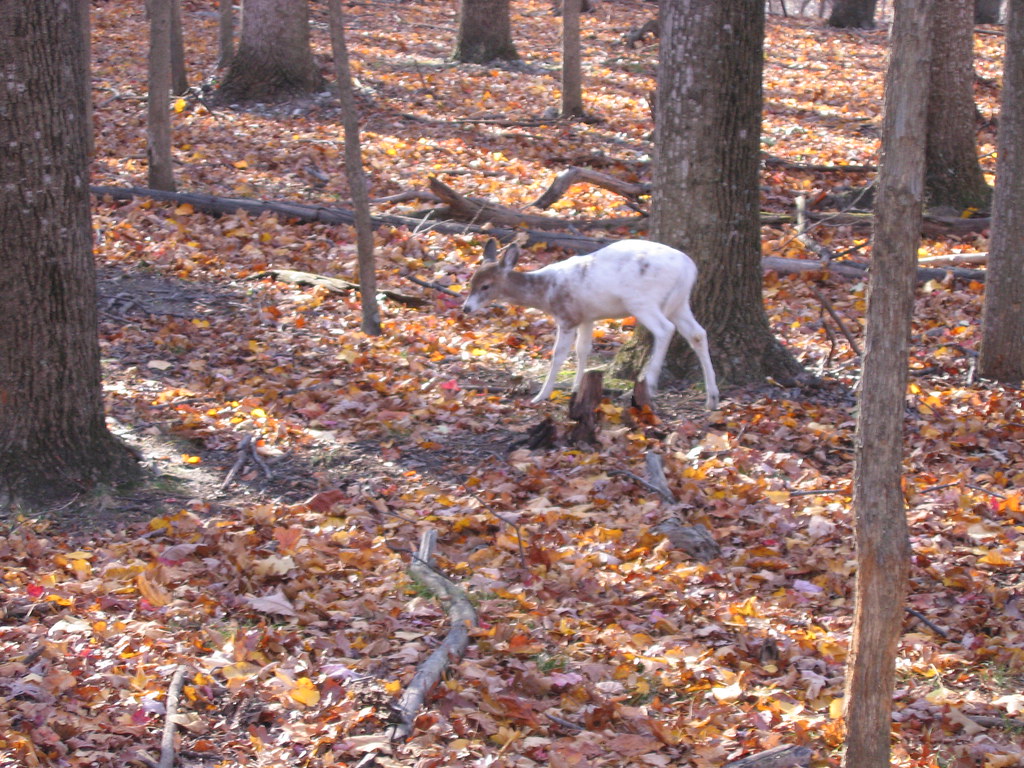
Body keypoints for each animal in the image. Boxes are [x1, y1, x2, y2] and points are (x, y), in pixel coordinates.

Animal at [462, 239, 719, 409]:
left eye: (485, 286)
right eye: (471, 282)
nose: (466, 308)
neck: (546, 292)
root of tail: (688, 268)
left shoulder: (567, 316)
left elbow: (558, 355)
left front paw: (541, 395)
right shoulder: (586, 317)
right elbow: (583, 350)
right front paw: (577, 389)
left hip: (641, 300)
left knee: (665, 330)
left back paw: (650, 385)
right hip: (679, 303)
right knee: (698, 333)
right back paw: (712, 397)